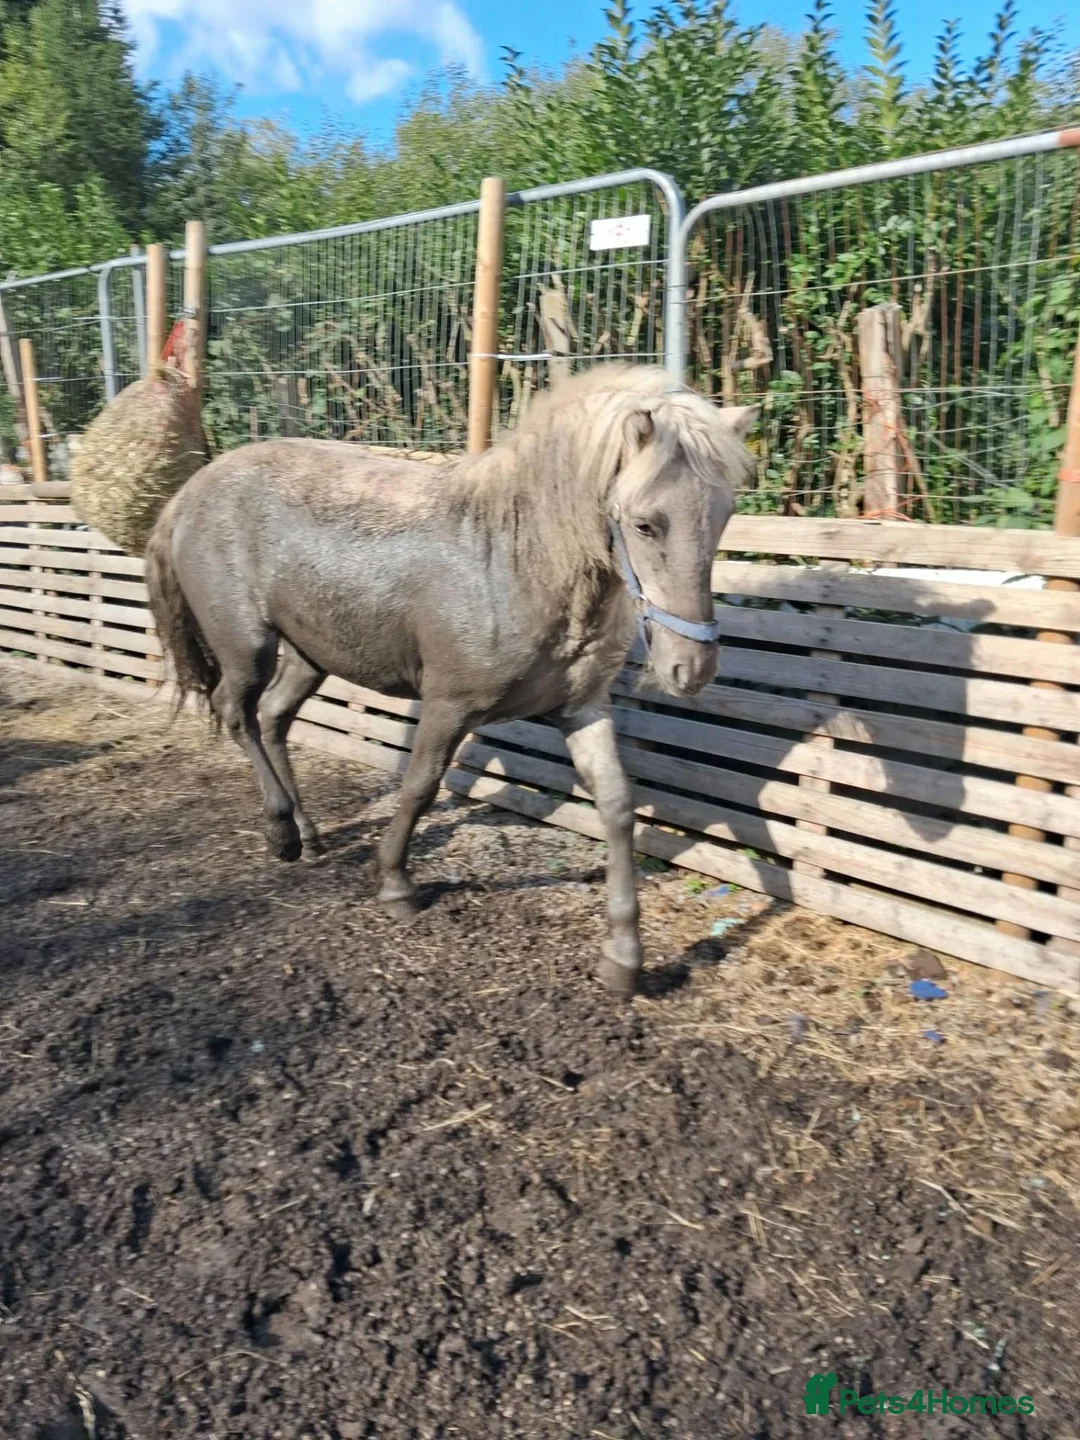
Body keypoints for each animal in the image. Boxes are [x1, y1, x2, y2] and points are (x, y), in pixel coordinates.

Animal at [144, 364, 757, 994]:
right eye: (645, 523)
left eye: (723, 515)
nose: (691, 668)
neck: (518, 560)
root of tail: (187, 495)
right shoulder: (448, 704)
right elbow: (420, 786)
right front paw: (396, 884)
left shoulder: (582, 708)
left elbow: (616, 805)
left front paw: (624, 957)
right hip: (247, 647)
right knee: (235, 712)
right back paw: (281, 833)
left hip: (310, 654)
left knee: (272, 719)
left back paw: (308, 833)